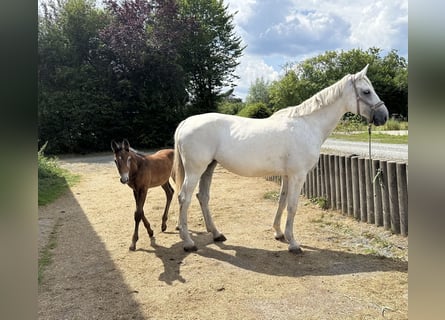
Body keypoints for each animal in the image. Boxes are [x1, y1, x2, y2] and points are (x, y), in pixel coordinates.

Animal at [172, 65, 386, 254]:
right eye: (366, 91)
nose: (383, 116)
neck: (308, 124)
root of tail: (186, 122)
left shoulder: (286, 175)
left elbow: (282, 202)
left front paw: (279, 233)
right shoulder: (298, 175)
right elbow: (292, 206)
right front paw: (293, 243)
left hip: (209, 167)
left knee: (203, 197)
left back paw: (216, 234)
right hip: (195, 170)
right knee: (184, 198)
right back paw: (188, 242)